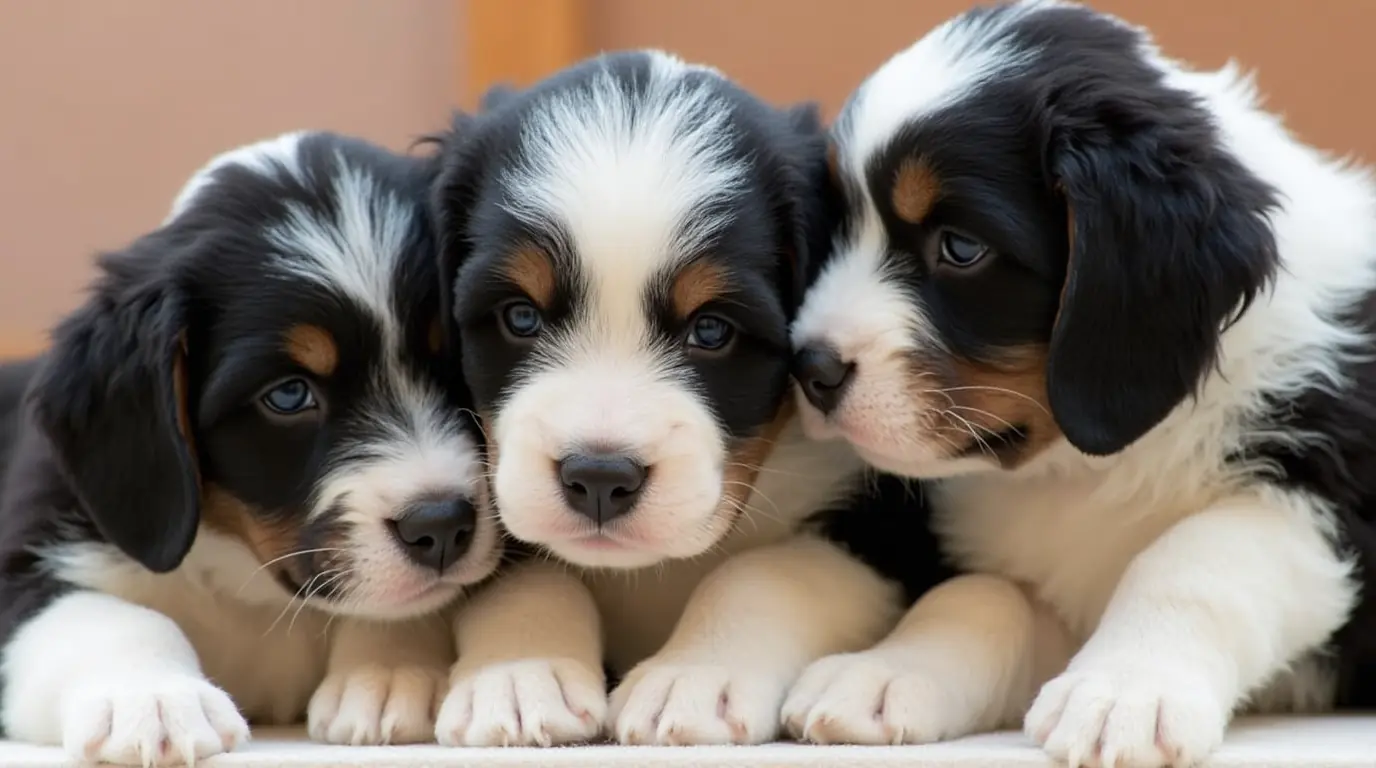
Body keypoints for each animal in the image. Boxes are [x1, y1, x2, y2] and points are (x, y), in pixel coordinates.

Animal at [0, 130, 506, 765]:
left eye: (453, 363)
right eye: (289, 395)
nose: (440, 526)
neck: (247, 581)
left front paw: (387, 674)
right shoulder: (33, 549)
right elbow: (108, 617)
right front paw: (154, 698)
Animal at [426, 51, 913, 748]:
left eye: (710, 329)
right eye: (520, 316)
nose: (600, 478)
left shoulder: (882, 520)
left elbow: (762, 573)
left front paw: (694, 677)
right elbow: (528, 573)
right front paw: (521, 674)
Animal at [781, 3, 1376, 765]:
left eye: (961, 248)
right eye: (838, 229)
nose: (810, 368)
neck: (1094, 466)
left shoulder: (1327, 494)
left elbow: (1196, 556)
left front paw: (1126, 690)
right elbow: (983, 596)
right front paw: (885, 673)